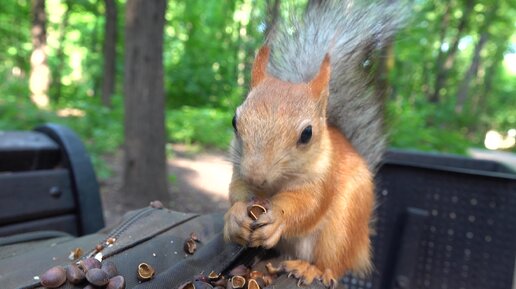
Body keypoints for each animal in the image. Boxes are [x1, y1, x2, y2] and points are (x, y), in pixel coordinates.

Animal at [222, 1, 404, 286]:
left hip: (340, 232)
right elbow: (236, 191)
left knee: (334, 265)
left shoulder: (323, 181)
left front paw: (278, 217)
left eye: (307, 134)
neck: (273, 187)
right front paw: (235, 218)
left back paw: (311, 269)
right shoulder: (239, 169)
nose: (256, 176)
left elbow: (308, 206)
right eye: (234, 121)